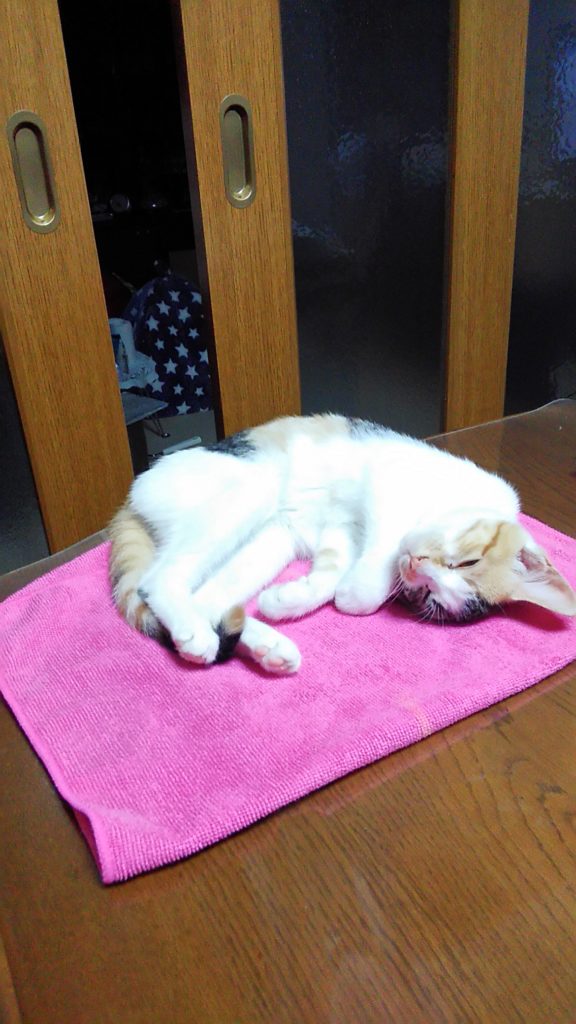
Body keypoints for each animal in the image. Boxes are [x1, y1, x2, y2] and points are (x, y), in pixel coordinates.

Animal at [109, 413, 576, 673]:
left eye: (429, 598)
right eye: (467, 562)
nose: (415, 564)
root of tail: (131, 495)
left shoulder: (342, 528)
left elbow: (333, 572)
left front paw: (288, 599)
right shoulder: (388, 478)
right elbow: (368, 582)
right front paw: (356, 593)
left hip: (270, 539)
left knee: (208, 599)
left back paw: (270, 648)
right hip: (249, 490)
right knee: (158, 580)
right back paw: (195, 634)